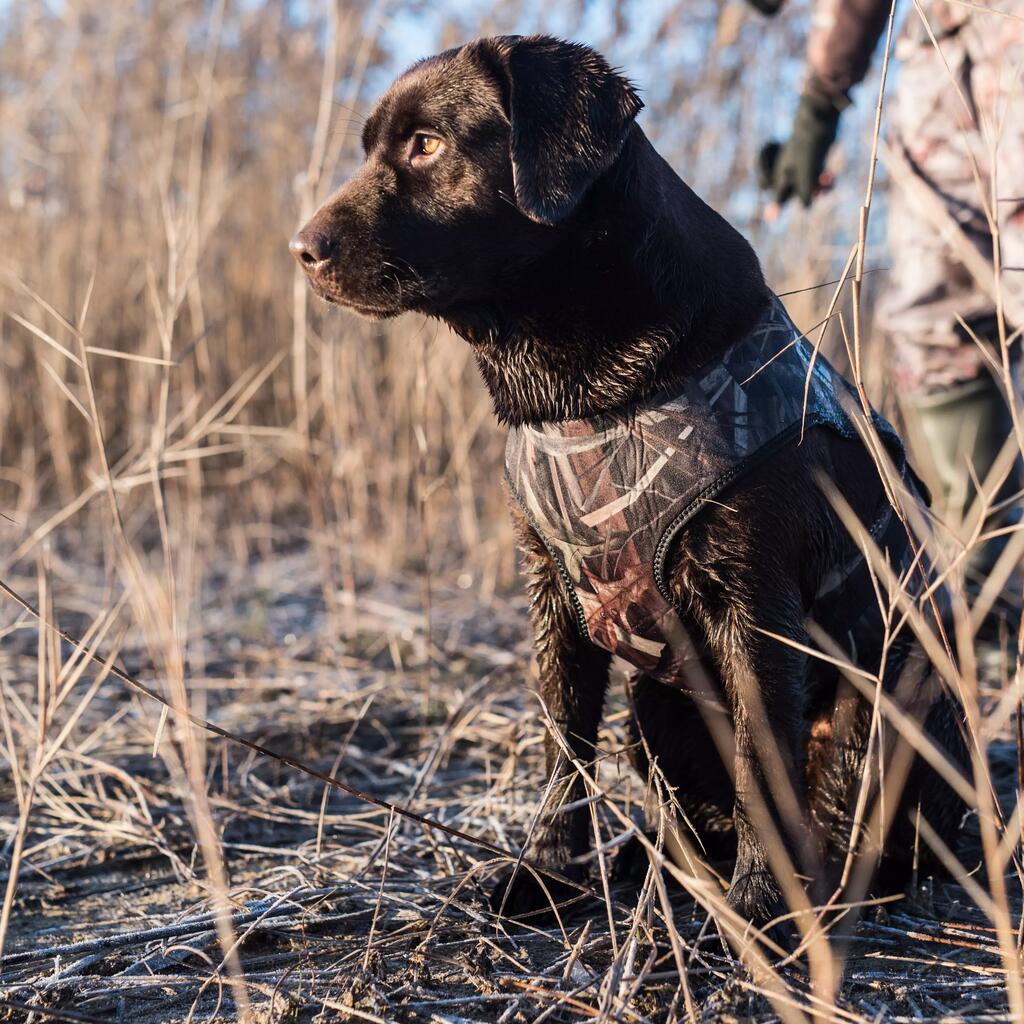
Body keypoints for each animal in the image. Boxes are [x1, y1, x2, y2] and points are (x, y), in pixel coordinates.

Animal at [290, 34, 966, 929]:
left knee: (857, 837)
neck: (587, 400)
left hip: (881, 702)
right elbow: (563, 749)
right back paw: (648, 866)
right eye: (371, 147)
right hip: (656, 708)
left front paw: (759, 905)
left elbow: (763, 766)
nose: (301, 249)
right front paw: (545, 873)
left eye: (426, 144)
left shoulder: (753, 604)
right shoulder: (552, 592)